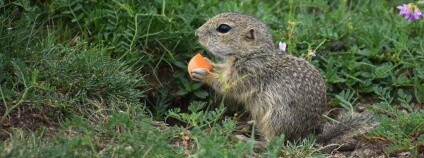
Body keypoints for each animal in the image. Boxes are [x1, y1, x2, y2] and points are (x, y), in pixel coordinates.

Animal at [190, 12, 370, 143]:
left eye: (223, 28)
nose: (196, 33)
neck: (252, 53)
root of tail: (304, 136)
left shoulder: (248, 73)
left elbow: (228, 86)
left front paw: (204, 74)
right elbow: (222, 71)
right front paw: (208, 63)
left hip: (276, 119)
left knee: (273, 144)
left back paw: (249, 140)